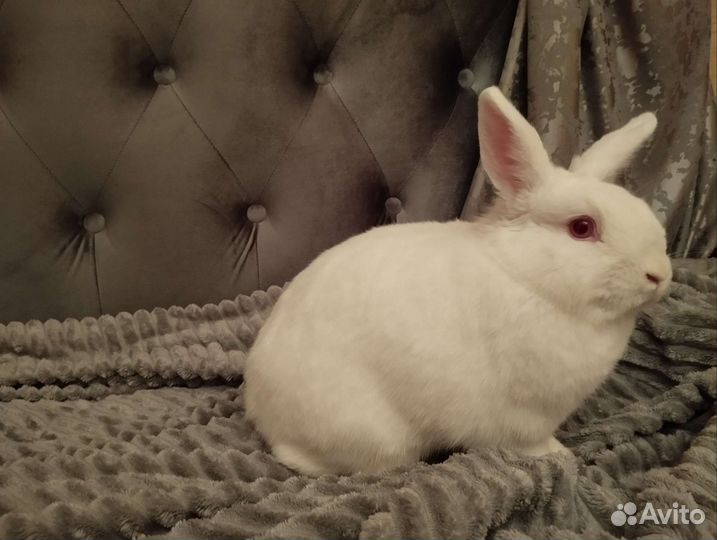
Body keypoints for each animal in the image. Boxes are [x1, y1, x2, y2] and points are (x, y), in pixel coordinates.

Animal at [243, 86, 671, 476]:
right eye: (582, 227)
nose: (660, 274)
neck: (525, 277)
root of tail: (259, 407)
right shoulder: (523, 418)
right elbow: (532, 444)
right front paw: (560, 455)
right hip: (373, 437)